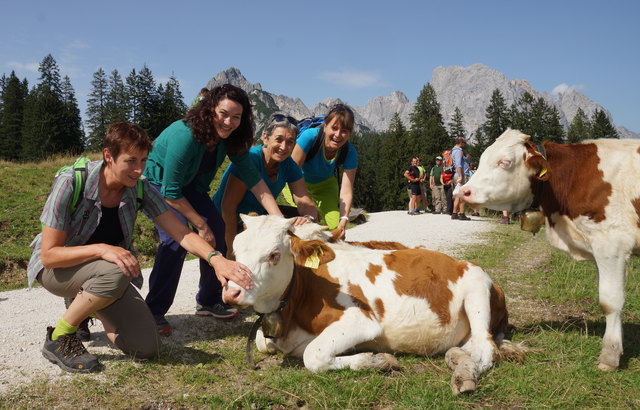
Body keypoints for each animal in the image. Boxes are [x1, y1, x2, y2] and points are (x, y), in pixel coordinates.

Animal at [222, 215, 524, 394]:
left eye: (274, 254)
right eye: (235, 251)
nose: (231, 292)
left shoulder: (362, 320)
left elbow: (314, 355)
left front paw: (377, 360)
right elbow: (263, 343)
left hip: (476, 288)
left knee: (485, 350)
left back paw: (464, 376)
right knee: (469, 347)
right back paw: (459, 362)